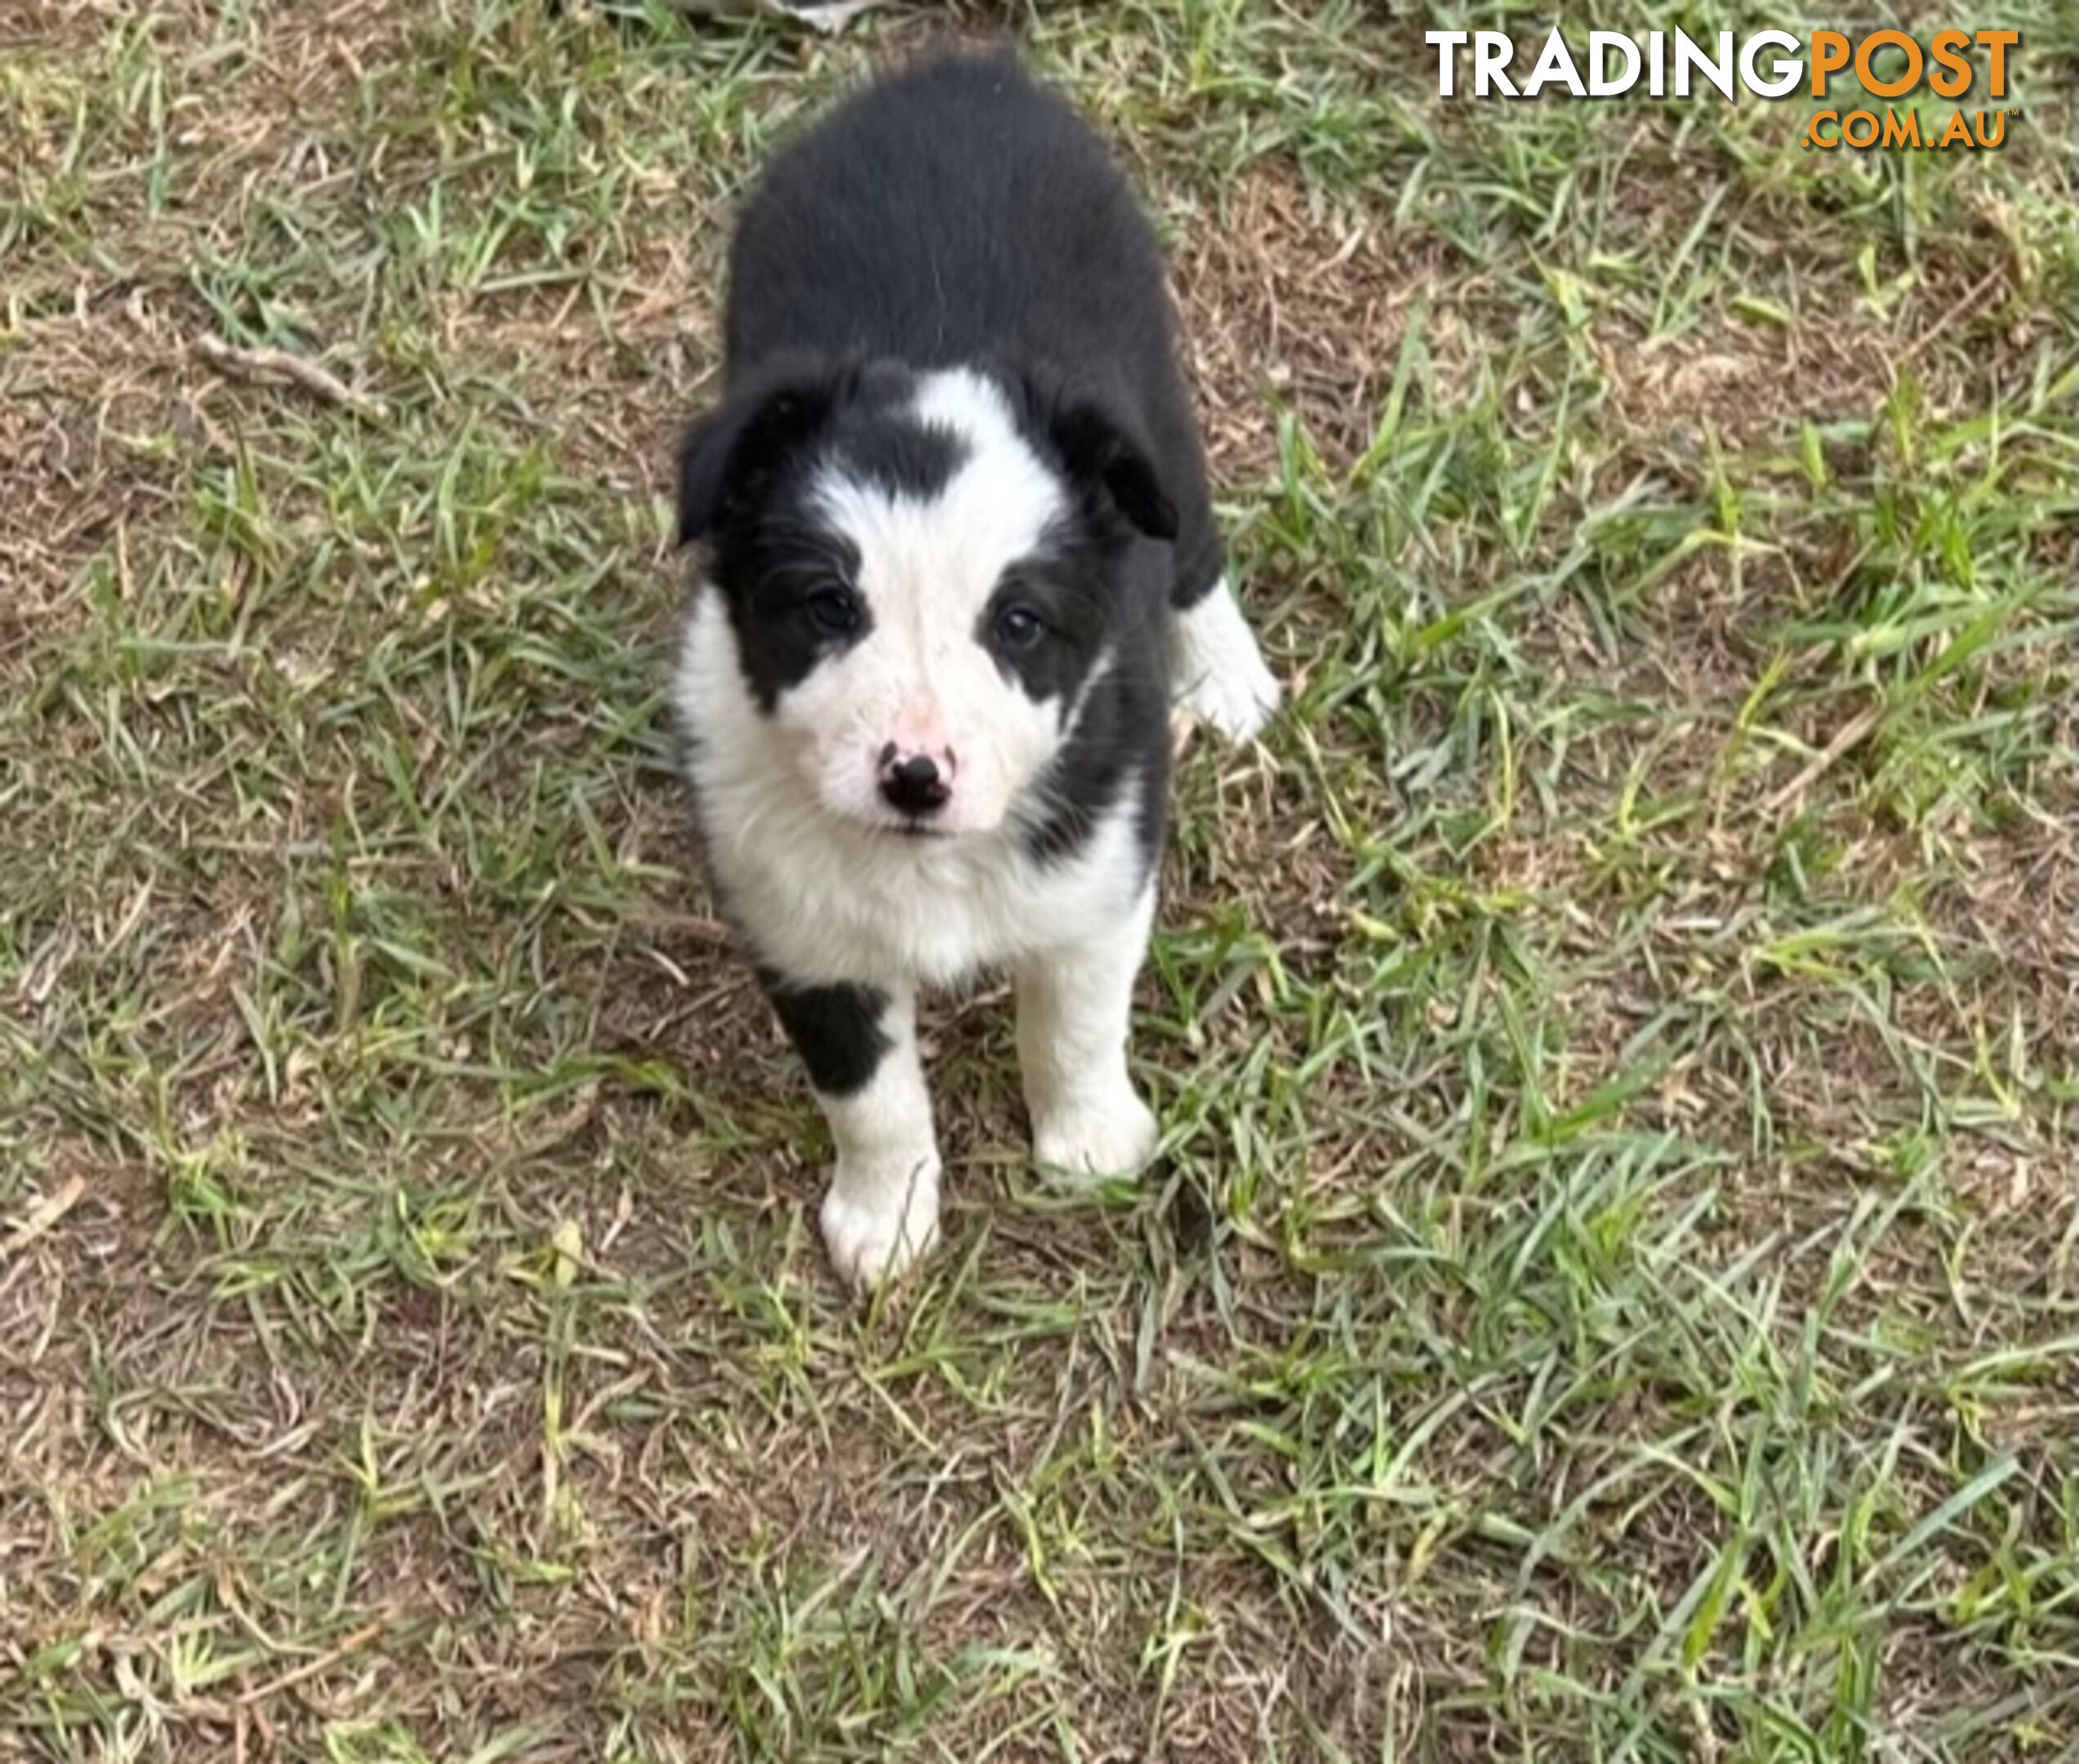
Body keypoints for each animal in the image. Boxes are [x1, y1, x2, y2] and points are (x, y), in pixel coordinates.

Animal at [673, 48, 1272, 1290]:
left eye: (1018, 624)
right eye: (828, 609)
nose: (914, 776)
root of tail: (957, 75)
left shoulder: (1102, 866)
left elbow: (1077, 1021)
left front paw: (1089, 1144)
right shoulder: (798, 930)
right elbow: (868, 1093)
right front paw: (886, 1218)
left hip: (1159, 422)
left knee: (1195, 549)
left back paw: (1225, 679)